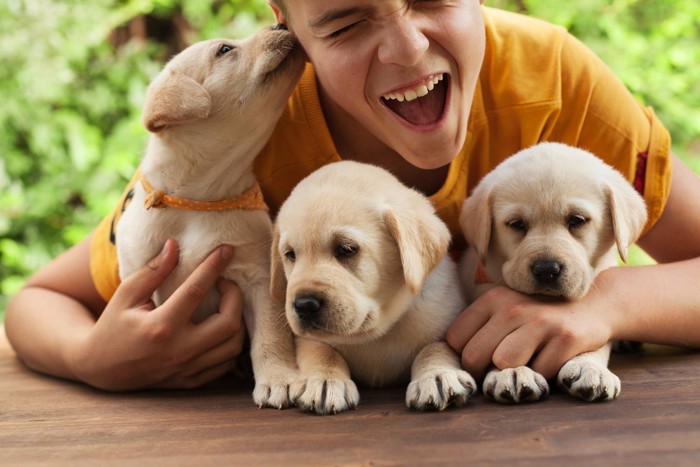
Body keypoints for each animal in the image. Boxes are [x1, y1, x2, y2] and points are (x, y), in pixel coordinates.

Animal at [117, 25, 304, 410]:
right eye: (224, 50)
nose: (280, 26)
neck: (198, 200)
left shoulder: (258, 276)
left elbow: (270, 335)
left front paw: (278, 378)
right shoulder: (136, 270)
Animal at [270, 162, 478, 416]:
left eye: (347, 249)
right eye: (290, 254)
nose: (304, 305)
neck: (374, 334)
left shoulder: (446, 319)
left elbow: (435, 347)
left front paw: (437, 375)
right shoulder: (308, 338)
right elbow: (321, 350)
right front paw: (324, 380)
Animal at [462, 143, 648, 402]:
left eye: (577, 220)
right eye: (516, 224)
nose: (547, 270)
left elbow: (597, 340)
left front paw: (589, 367)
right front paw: (512, 370)